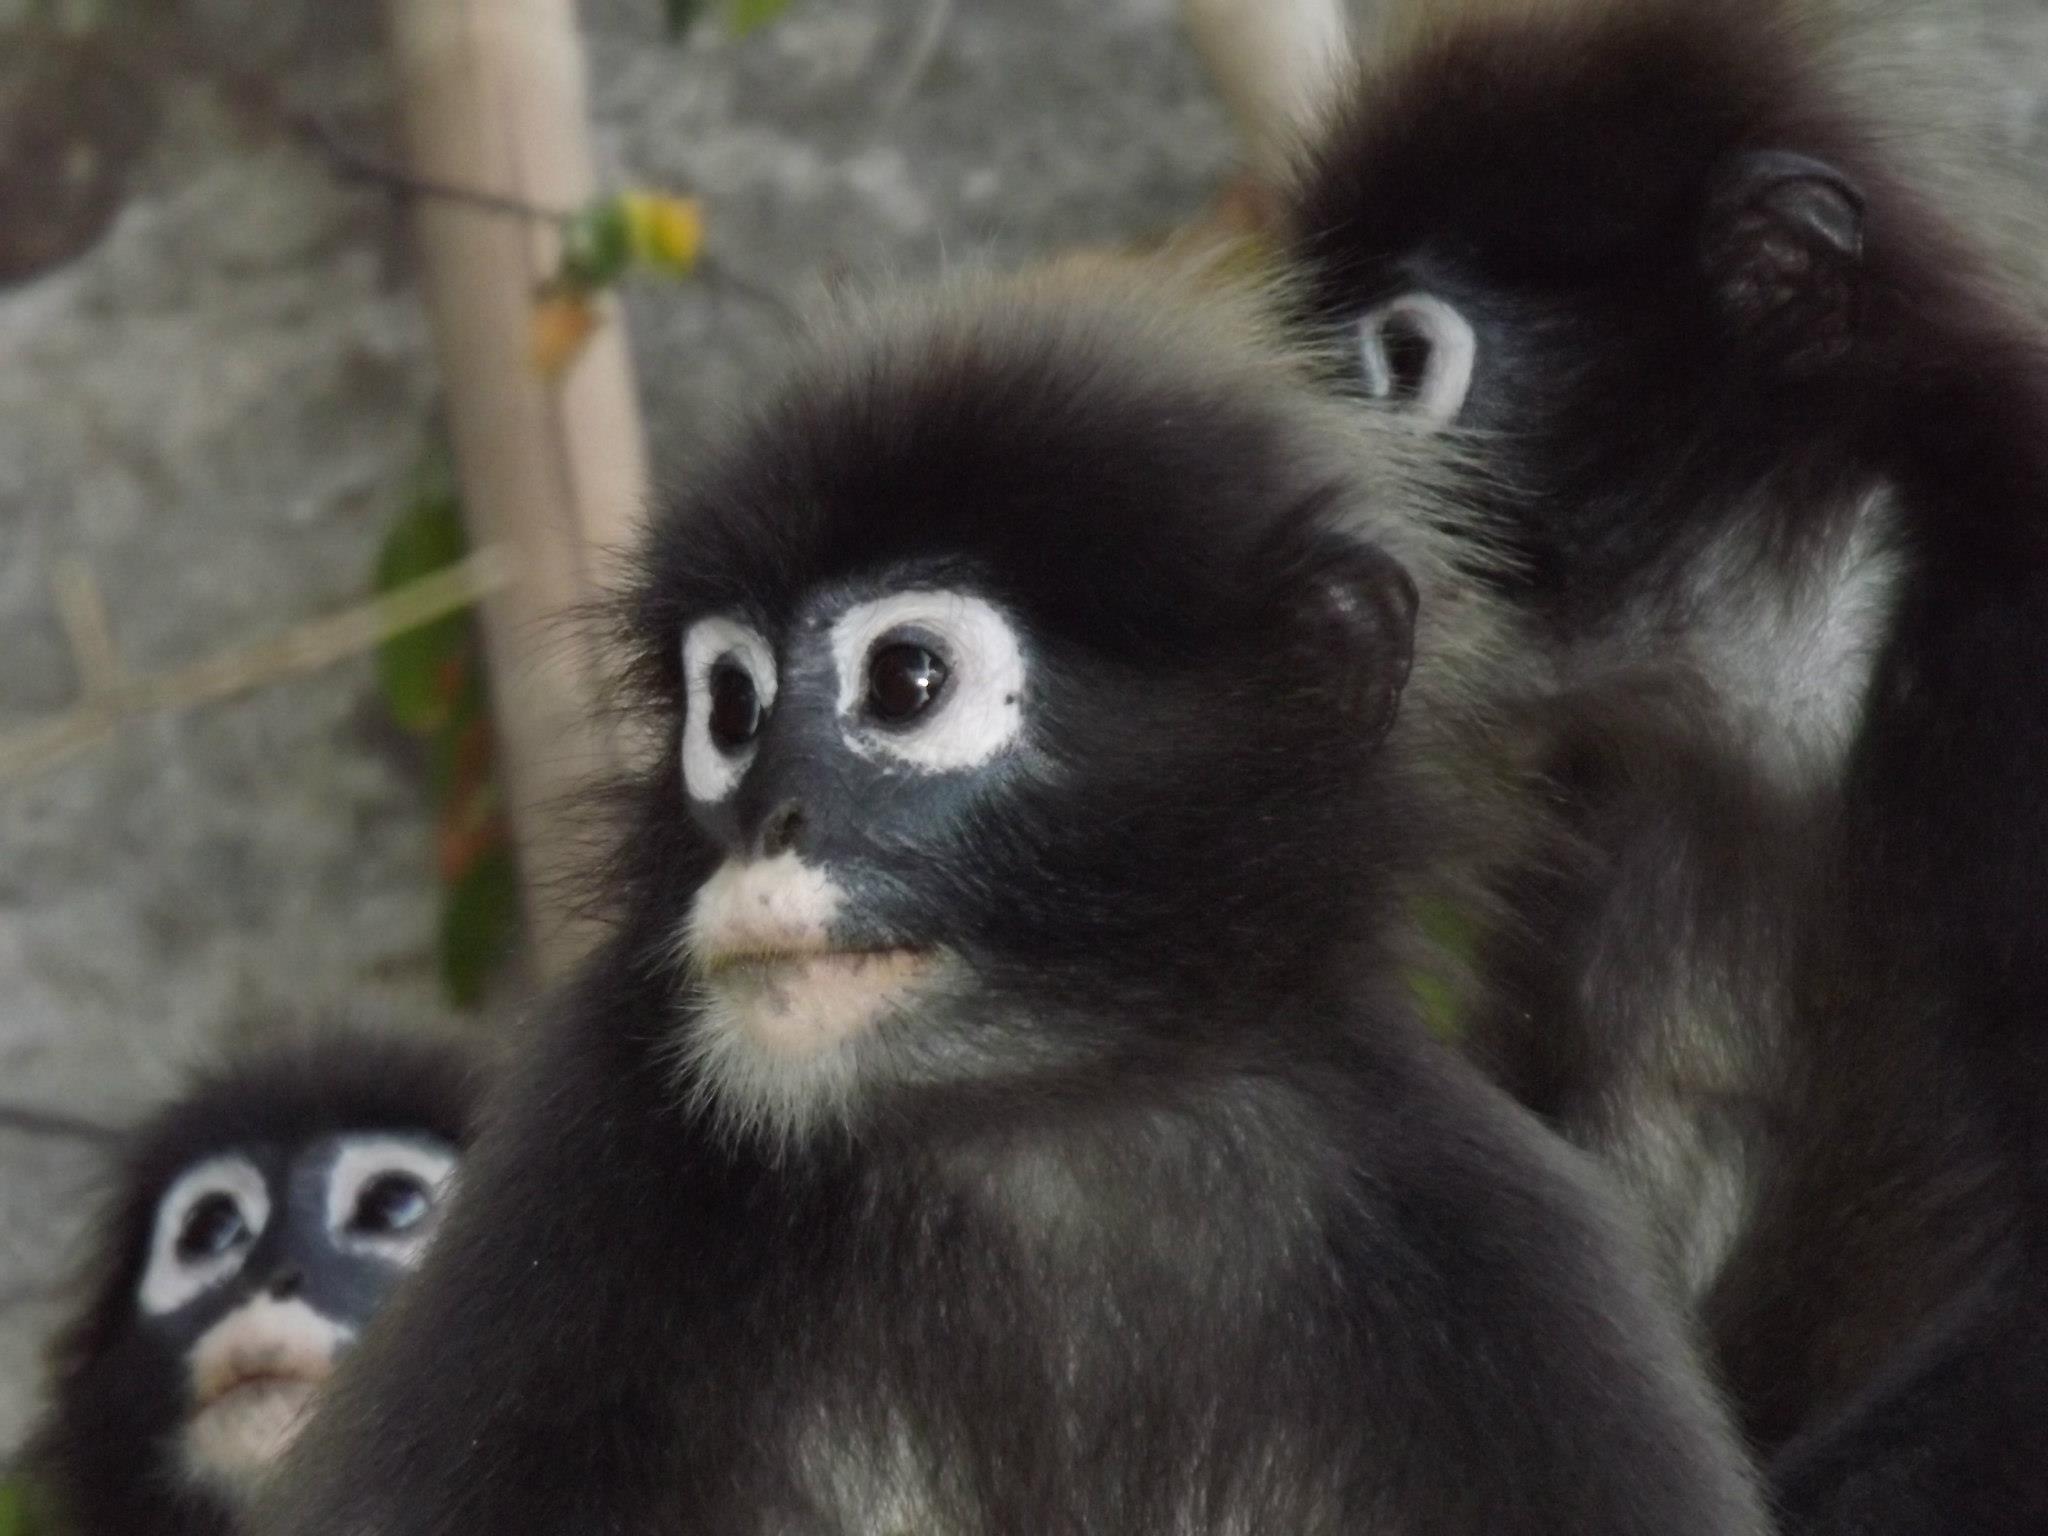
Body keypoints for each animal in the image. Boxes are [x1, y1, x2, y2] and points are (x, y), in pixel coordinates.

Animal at [251, 270, 1761, 1536]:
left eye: (905, 681)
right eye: (729, 708)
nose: (770, 819)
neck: (1030, 1131)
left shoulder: (1503, 1260)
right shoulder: (584, 1163)